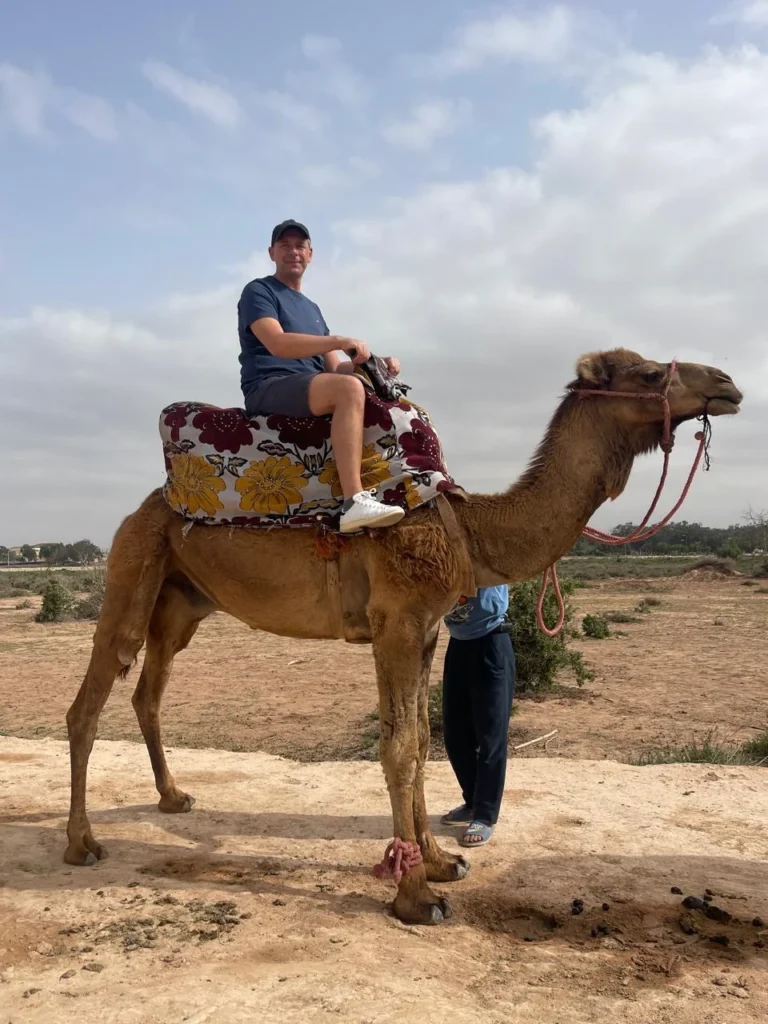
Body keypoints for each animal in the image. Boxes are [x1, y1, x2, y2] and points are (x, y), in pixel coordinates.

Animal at [64, 348, 742, 925]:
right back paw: (82, 844)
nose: (728, 382)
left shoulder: (427, 630)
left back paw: (174, 799)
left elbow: (419, 742)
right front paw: (416, 898)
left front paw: (442, 863)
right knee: (87, 705)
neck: (469, 527)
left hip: (181, 603)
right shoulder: (395, 623)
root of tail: (142, 507)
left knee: (147, 692)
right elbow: (397, 750)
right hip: (132, 568)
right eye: (650, 374)